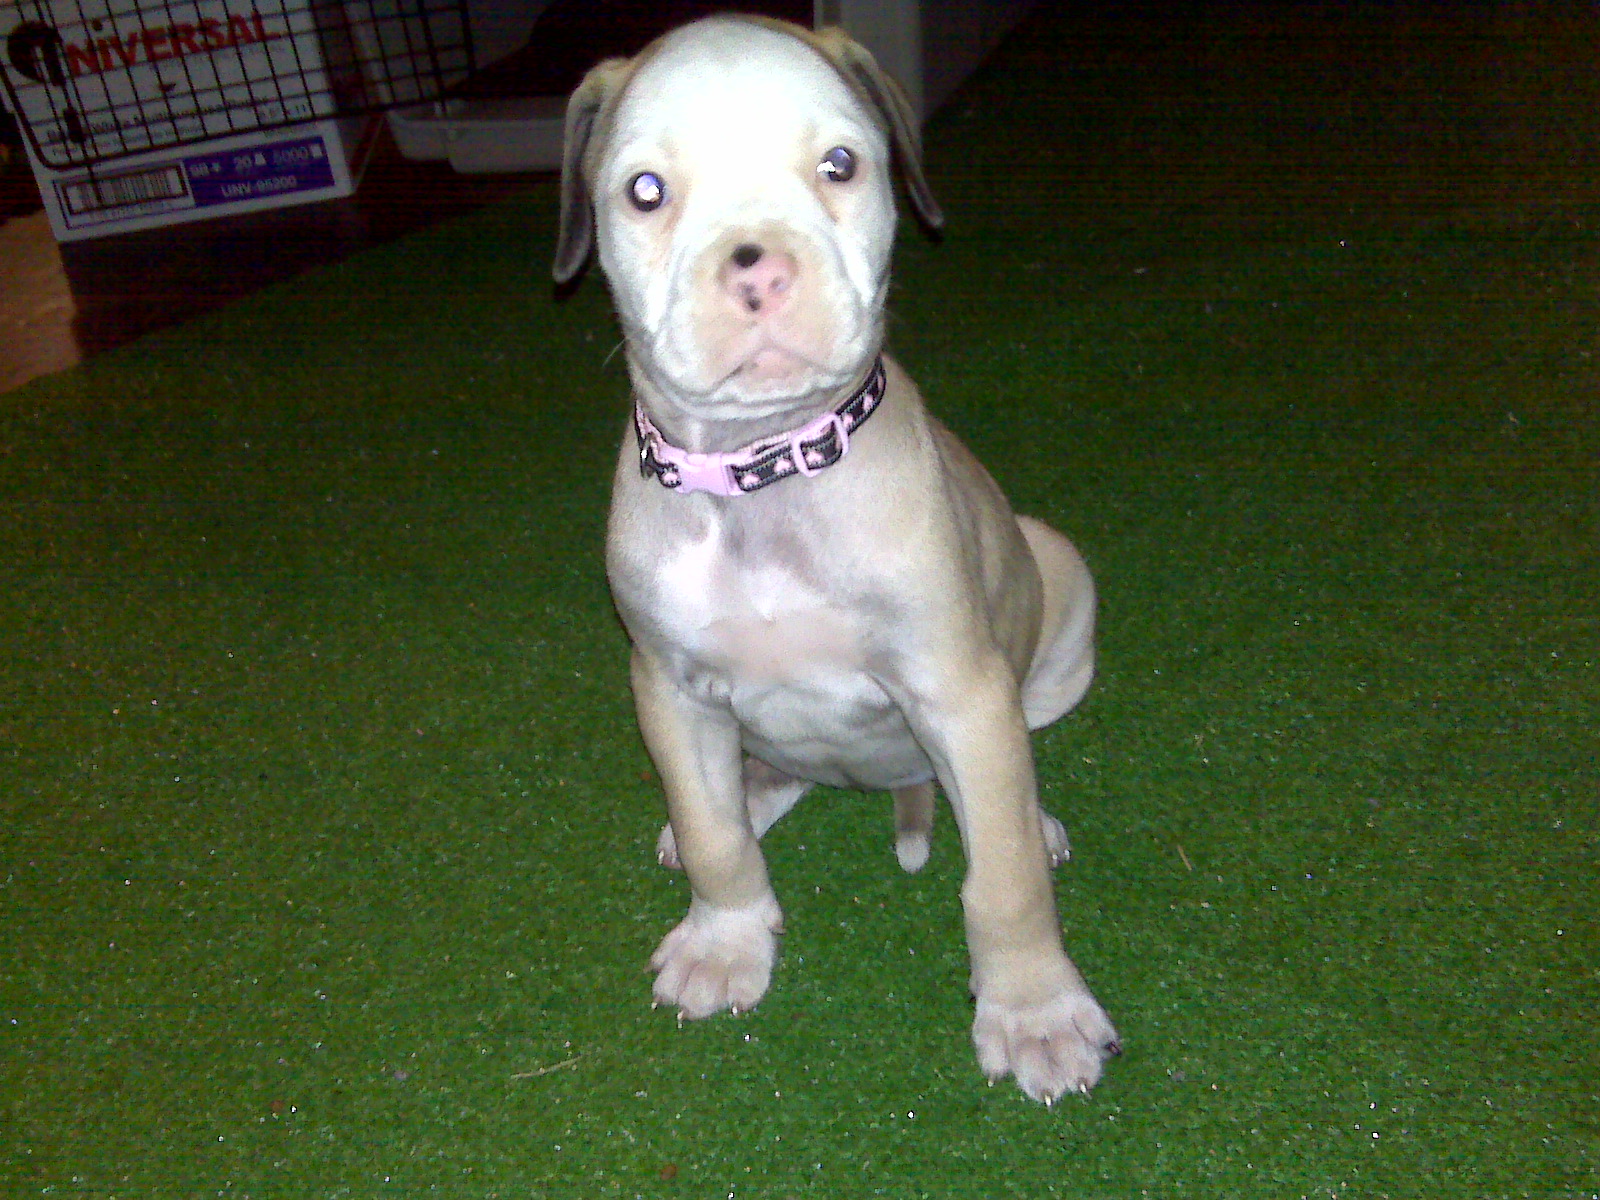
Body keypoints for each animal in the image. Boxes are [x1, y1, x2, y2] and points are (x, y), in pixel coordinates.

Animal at [553, 15, 1120, 1104]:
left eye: (840, 166)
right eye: (643, 191)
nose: (758, 267)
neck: (764, 469)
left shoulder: (960, 690)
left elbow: (1003, 883)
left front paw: (1034, 1009)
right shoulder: (666, 687)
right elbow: (716, 837)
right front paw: (725, 939)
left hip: (1057, 579)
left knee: (1011, 780)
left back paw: (1037, 821)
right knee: (748, 792)